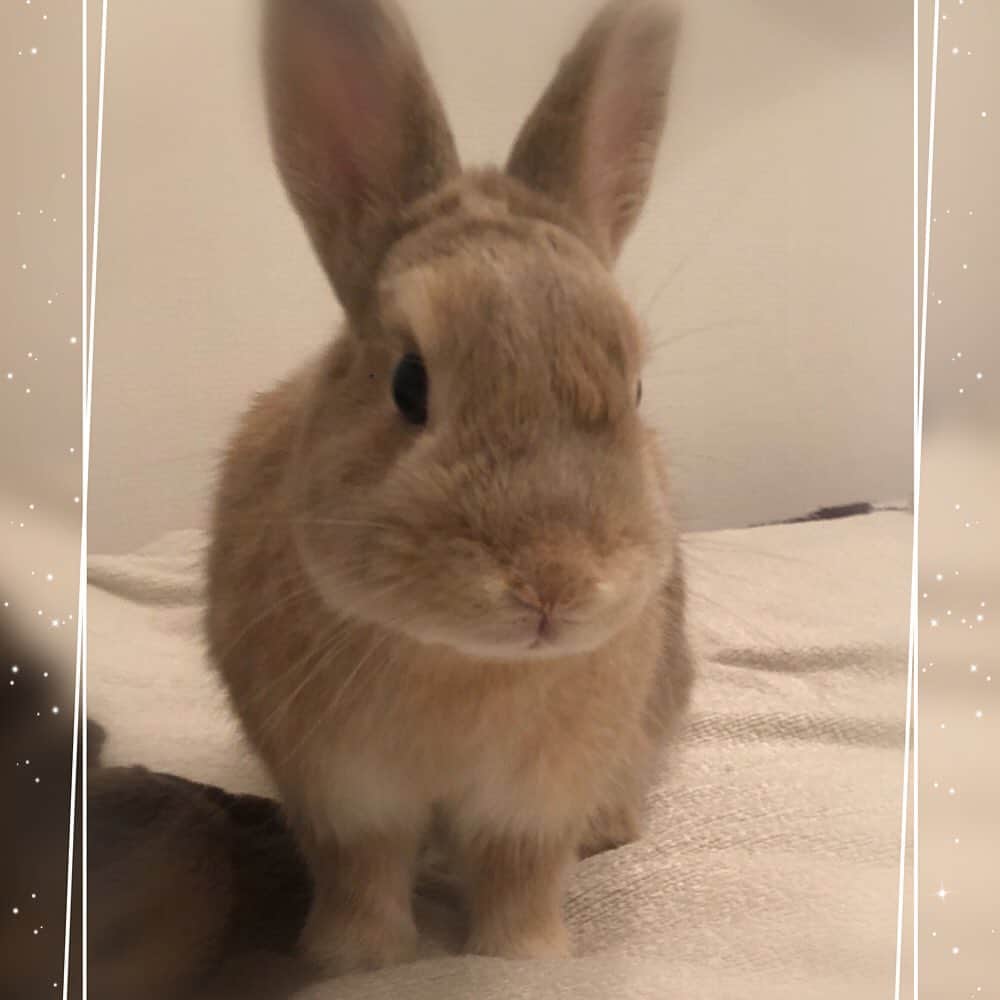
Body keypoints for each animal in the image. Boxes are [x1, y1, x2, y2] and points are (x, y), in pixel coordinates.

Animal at [206, 0, 694, 976]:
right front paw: (355, 961)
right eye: (408, 383)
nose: (553, 583)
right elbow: (362, 871)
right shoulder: (344, 794)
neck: (464, 661)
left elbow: (520, 873)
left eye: (633, 389)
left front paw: (525, 959)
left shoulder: (534, 800)